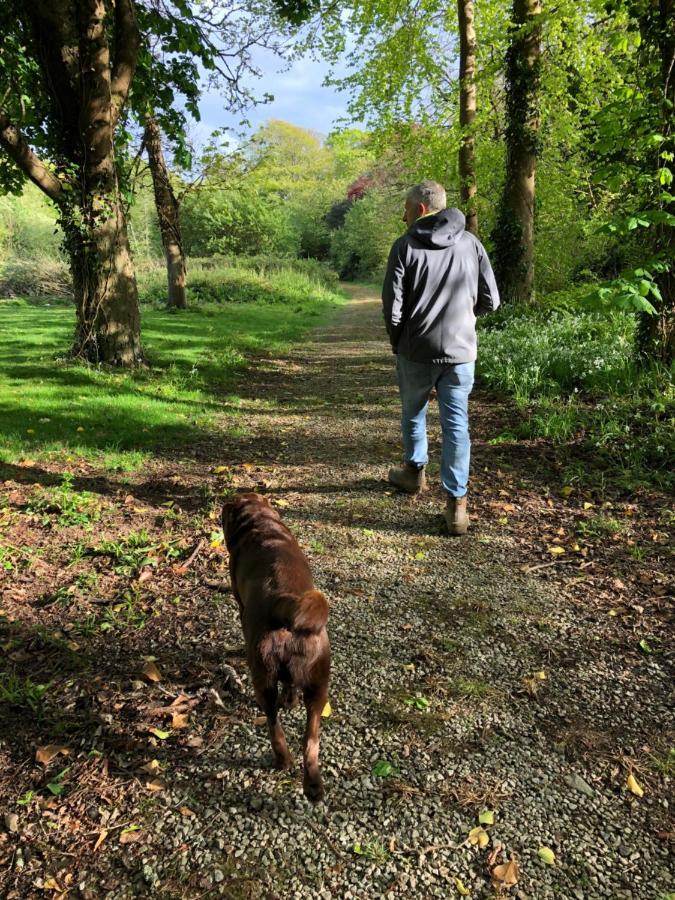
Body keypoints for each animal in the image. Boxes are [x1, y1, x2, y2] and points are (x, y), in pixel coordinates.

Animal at [223, 492, 332, 800]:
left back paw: (282, 759)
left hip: (263, 680)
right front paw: (291, 700)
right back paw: (313, 787)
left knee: (273, 723)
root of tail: (284, 602)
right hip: (319, 685)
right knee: (310, 740)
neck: (262, 523)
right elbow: (291, 684)